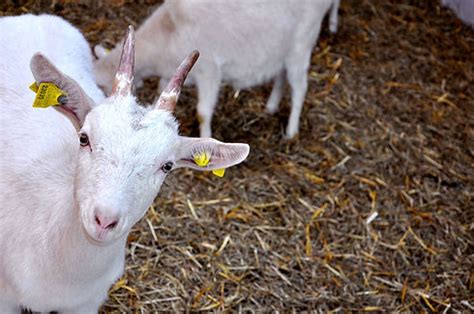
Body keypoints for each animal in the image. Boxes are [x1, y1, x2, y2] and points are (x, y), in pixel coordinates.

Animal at [94, 0, 340, 139]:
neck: (169, 31)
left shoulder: (209, 71)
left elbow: (203, 112)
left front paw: (206, 136)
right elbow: (161, 92)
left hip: (302, 45)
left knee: (300, 88)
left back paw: (291, 131)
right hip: (282, 51)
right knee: (282, 76)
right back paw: (271, 106)